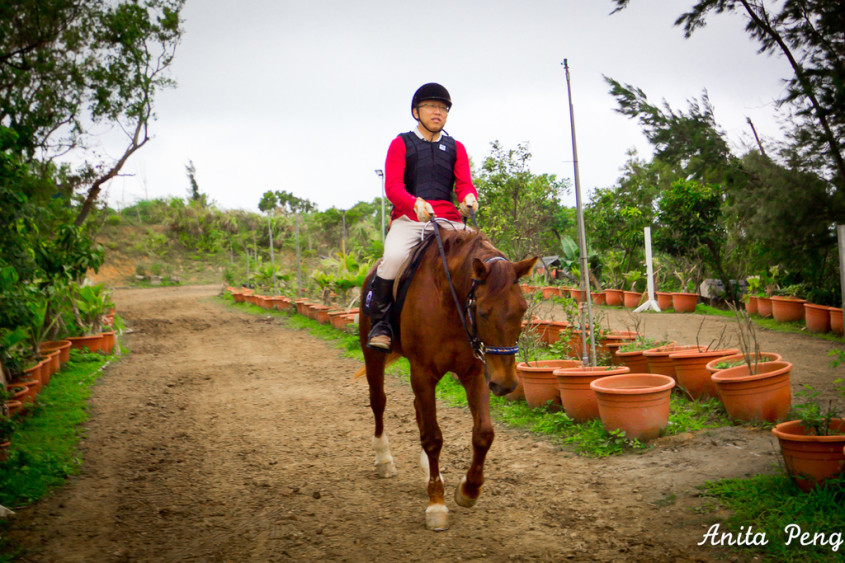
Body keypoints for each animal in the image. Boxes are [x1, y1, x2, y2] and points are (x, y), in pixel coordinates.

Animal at [360, 227, 536, 532]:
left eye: (523, 309)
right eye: (483, 312)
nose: (505, 384)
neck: (450, 300)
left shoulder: (475, 374)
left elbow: (483, 434)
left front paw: (469, 490)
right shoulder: (423, 372)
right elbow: (432, 438)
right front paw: (436, 505)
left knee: (417, 409)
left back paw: (428, 472)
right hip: (374, 356)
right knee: (378, 401)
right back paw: (384, 460)